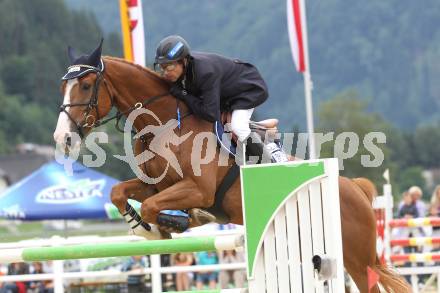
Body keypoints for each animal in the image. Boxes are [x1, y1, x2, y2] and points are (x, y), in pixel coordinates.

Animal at [54, 55, 410, 292]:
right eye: (64, 87)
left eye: (85, 85)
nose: (63, 138)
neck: (166, 124)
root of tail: (355, 188)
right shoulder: (156, 184)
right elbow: (120, 193)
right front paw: (146, 229)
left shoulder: (197, 190)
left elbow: (158, 208)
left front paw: (175, 223)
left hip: (357, 258)